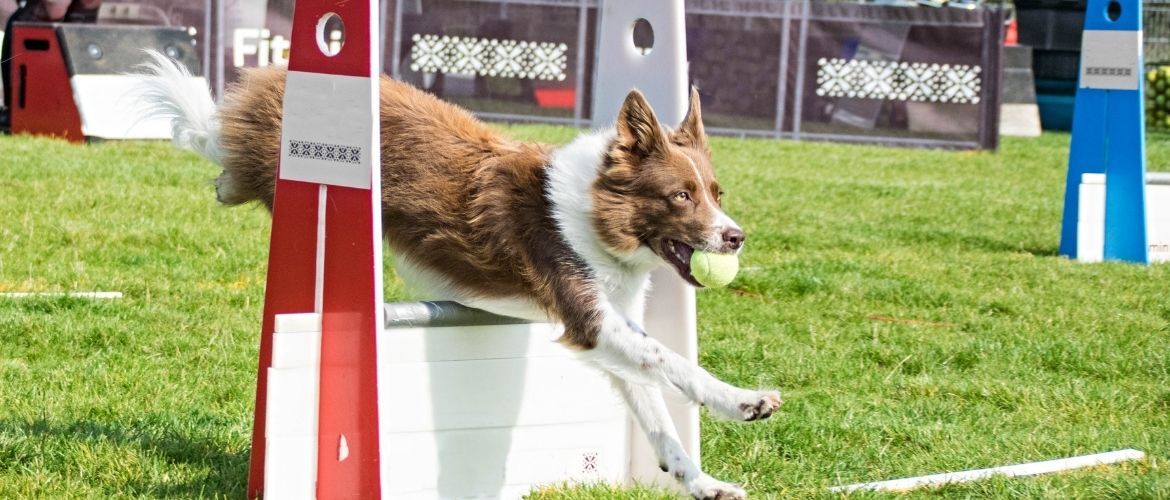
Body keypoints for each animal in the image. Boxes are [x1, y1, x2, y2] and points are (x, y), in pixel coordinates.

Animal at [143, 52, 786, 498]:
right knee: (223, 149)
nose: (736, 237)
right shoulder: (587, 313)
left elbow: (656, 413)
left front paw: (702, 483)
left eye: (717, 193)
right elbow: (673, 362)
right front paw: (744, 401)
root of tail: (277, 73)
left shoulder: (608, 330)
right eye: (680, 196)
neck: (597, 217)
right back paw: (218, 163)